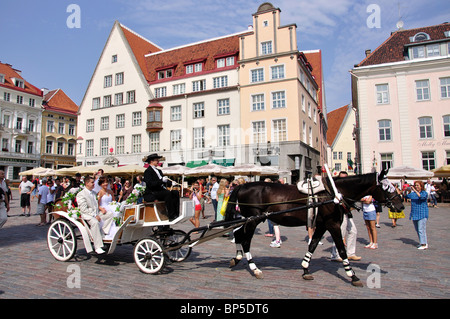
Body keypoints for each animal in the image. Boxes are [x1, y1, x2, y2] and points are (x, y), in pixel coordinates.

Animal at [225, 170, 404, 288]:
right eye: (387, 187)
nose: (400, 205)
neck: (333, 194)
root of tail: (242, 186)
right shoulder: (333, 225)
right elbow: (342, 249)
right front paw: (352, 275)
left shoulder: (322, 226)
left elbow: (312, 245)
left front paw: (305, 269)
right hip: (252, 221)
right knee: (245, 241)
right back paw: (254, 268)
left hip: (250, 221)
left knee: (238, 235)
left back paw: (237, 258)